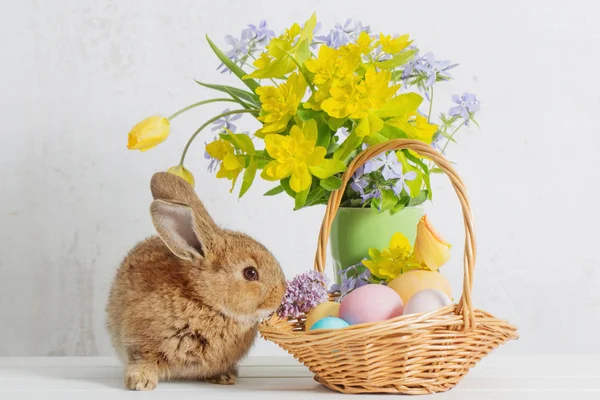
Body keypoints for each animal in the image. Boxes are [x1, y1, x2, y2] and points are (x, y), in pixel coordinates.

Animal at [106, 173, 288, 390]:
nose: (281, 294)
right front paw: (140, 382)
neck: (205, 301)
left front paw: (224, 377)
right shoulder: (140, 342)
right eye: (250, 273)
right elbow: (142, 359)